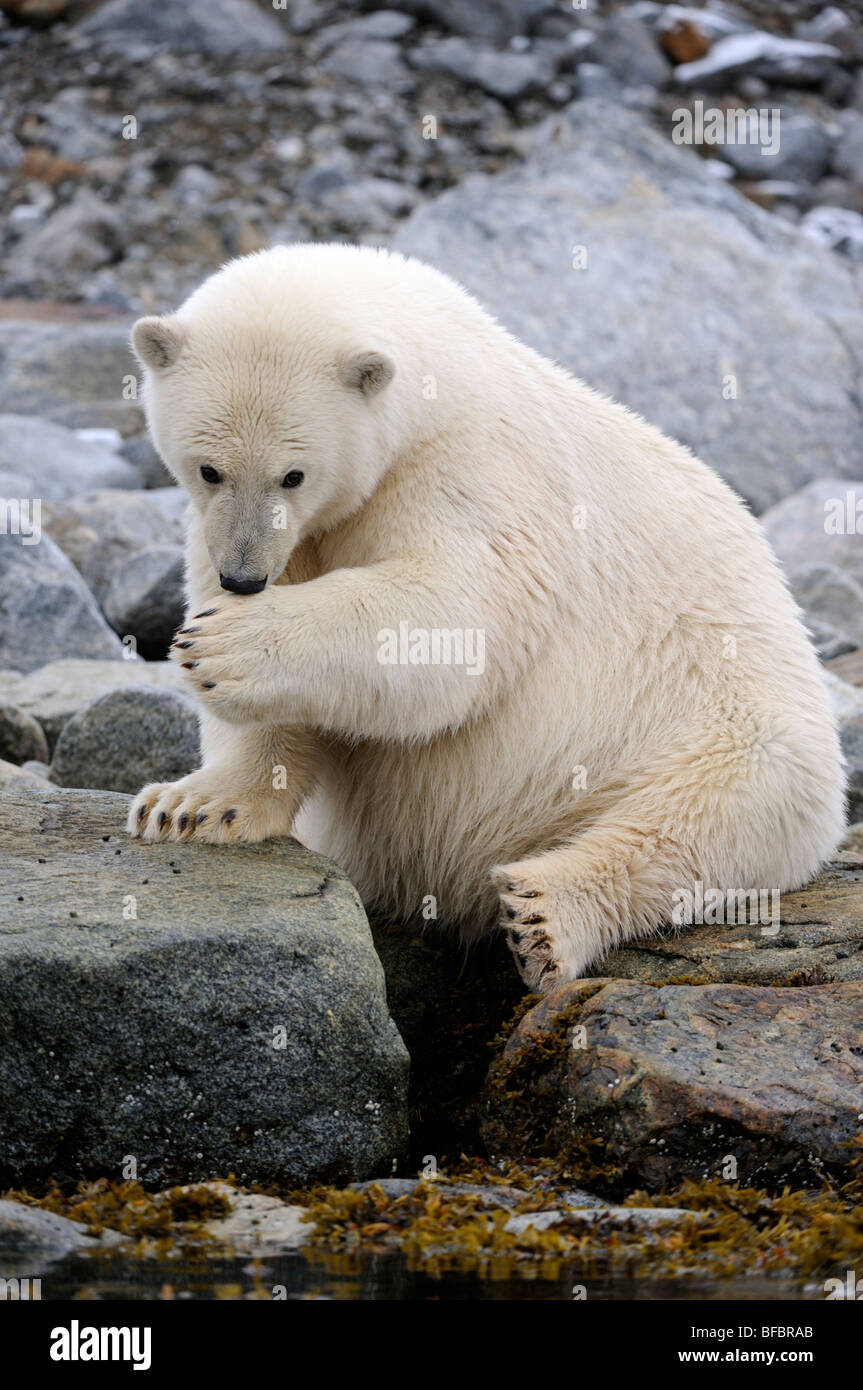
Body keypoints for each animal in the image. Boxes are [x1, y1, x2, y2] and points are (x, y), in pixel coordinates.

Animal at [124, 244, 844, 995]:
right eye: (208, 469)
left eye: (293, 474)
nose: (243, 577)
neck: (433, 371)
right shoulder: (282, 532)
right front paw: (192, 806)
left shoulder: (472, 470)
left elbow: (454, 618)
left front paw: (222, 646)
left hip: (729, 719)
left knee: (710, 815)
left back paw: (544, 914)